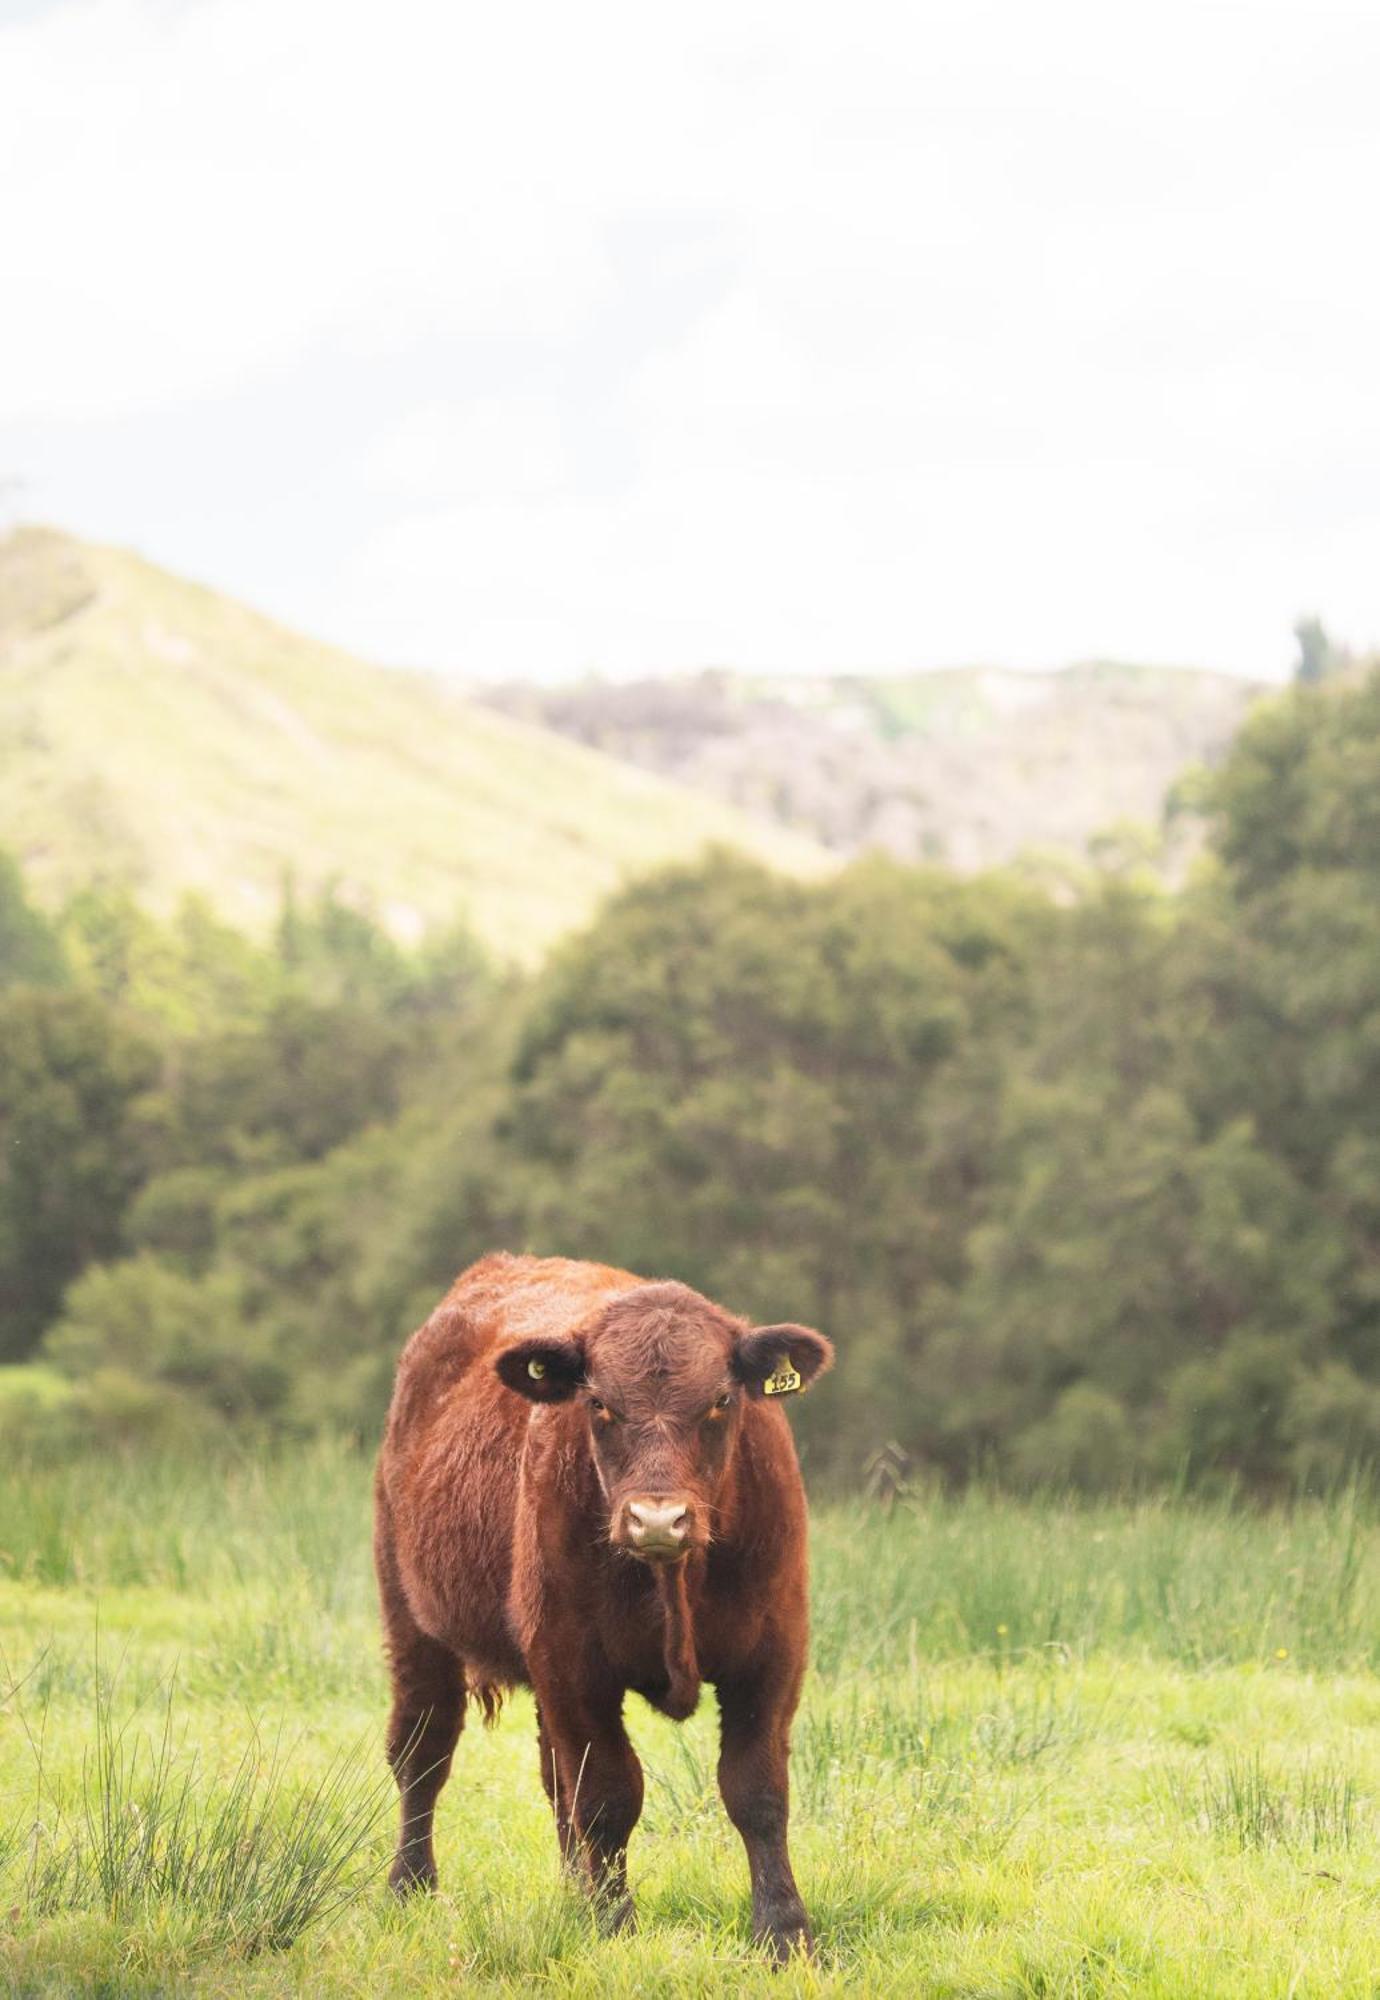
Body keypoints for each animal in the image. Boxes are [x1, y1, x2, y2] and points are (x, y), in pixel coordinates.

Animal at [370, 1248, 832, 1952]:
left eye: (722, 1399)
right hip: (414, 1624)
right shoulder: (574, 1662)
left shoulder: (772, 1655)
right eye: (599, 1403)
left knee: (551, 1777)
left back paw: (573, 1893)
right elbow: (610, 1795)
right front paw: (615, 1923)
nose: (657, 1520)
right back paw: (411, 1885)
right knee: (423, 1751)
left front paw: (783, 1932)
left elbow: (756, 1791)